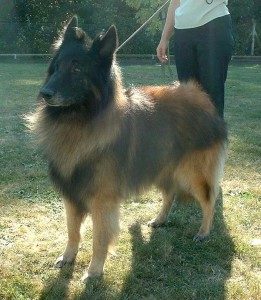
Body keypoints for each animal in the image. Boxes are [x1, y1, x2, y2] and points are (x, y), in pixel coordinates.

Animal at [26, 16, 225, 278]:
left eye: (77, 69)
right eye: (57, 66)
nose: (44, 93)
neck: (81, 121)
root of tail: (203, 98)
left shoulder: (102, 200)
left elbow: (99, 238)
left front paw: (94, 270)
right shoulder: (72, 193)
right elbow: (72, 231)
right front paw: (68, 257)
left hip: (191, 172)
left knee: (209, 199)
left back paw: (204, 232)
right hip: (162, 165)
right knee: (170, 193)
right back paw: (160, 220)